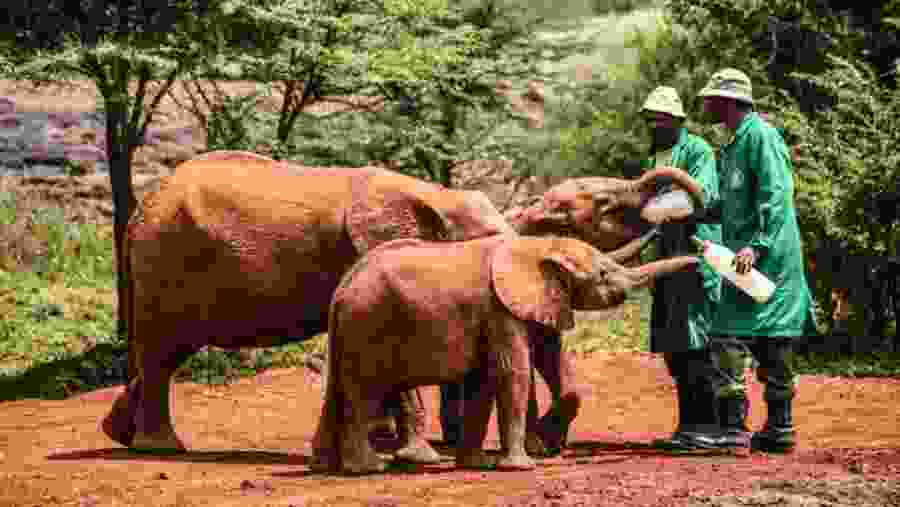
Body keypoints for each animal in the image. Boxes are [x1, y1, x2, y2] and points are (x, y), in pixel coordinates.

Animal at [100, 150, 513, 458]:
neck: (438, 195)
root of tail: (138, 213)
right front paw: (417, 456)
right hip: (166, 261)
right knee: (162, 352)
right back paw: (161, 448)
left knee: (164, 353)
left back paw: (118, 434)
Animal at [313, 234, 700, 474]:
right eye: (603, 272)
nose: (699, 259)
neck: (540, 246)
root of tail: (341, 289)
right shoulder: (499, 309)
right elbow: (511, 372)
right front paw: (522, 465)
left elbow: (488, 378)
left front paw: (479, 465)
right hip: (368, 324)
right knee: (364, 391)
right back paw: (367, 468)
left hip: (354, 329)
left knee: (340, 390)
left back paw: (327, 466)